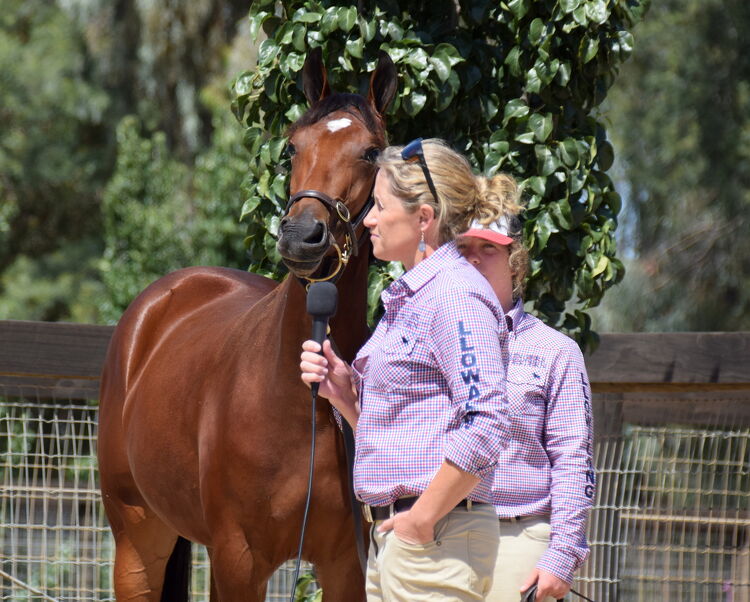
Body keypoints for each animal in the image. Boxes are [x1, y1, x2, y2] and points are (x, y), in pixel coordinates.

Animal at [97, 48, 397, 601]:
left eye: (371, 152)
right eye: (293, 144)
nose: (302, 236)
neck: (298, 402)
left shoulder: (346, 563)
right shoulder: (239, 558)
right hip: (137, 536)